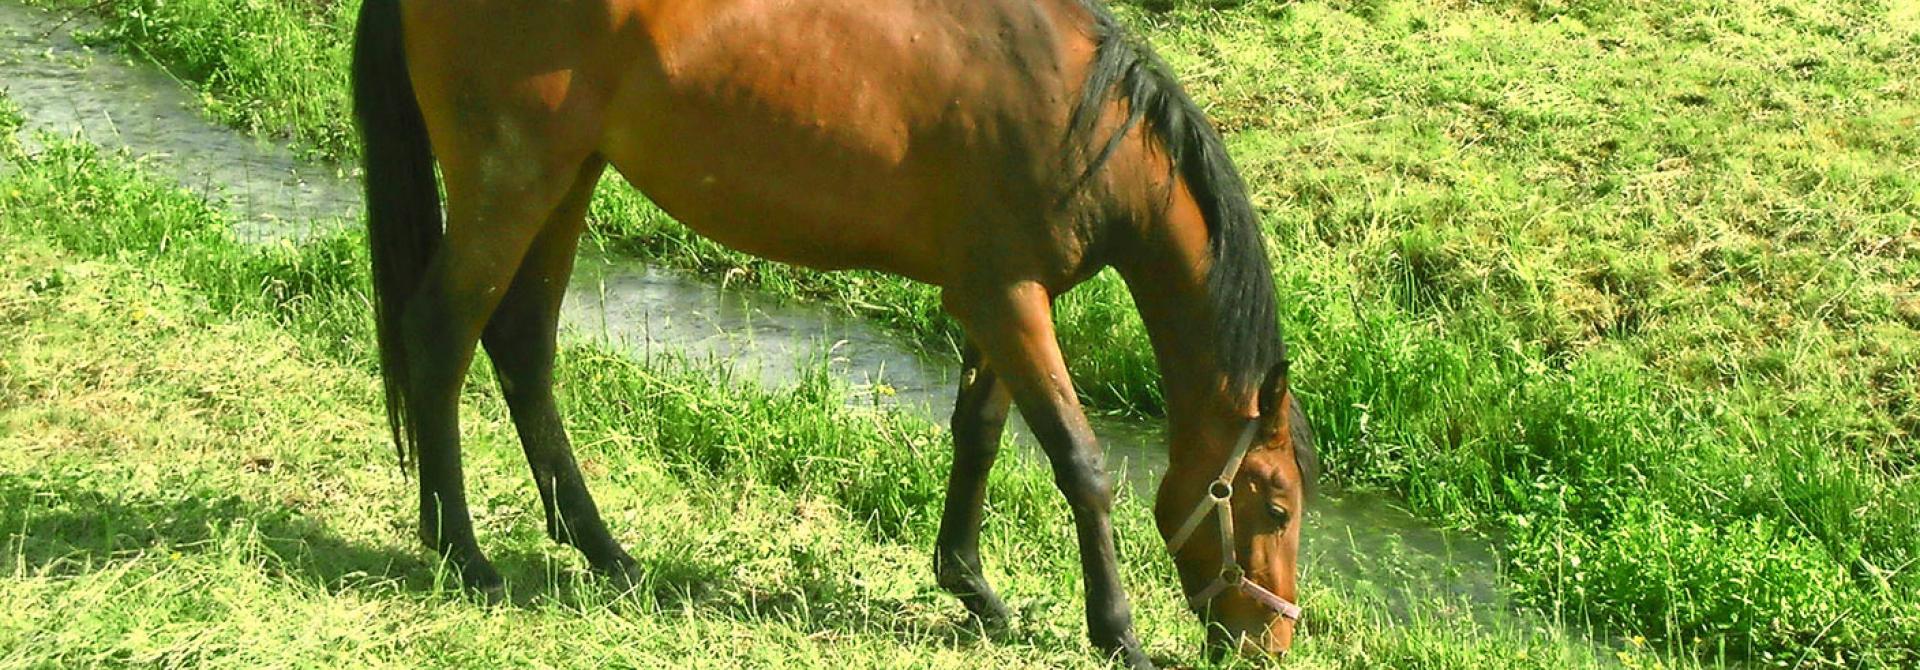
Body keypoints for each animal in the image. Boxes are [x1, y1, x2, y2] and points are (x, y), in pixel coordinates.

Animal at [351, 0, 1317, 665]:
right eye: (1273, 505)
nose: (1269, 643)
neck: (1077, 116)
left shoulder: (994, 301)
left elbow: (979, 437)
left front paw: (972, 587)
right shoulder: (1011, 302)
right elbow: (1081, 463)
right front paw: (1116, 632)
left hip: (568, 177)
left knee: (522, 345)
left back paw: (603, 551)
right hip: (510, 183)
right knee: (441, 337)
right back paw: (462, 553)